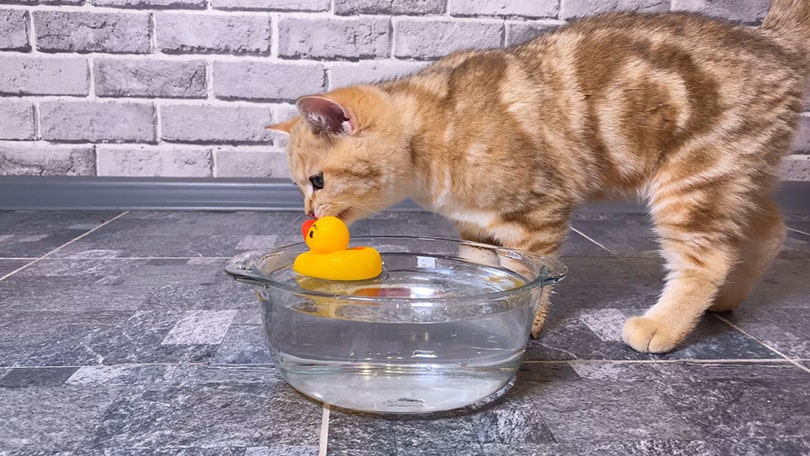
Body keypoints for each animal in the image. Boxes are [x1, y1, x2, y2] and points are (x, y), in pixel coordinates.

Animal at [266, 0, 808, 352]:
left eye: (317, 182)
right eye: (300, 187)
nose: (308, 218)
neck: (435, 130)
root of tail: (771, 41)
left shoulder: (538, 214)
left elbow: (532, 278)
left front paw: (527, 324)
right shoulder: (475, 227)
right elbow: (482, 272)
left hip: (692, 184)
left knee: (708, 260)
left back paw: (663, 326)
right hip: (735, 181)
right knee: (767, 234)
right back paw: (726, 301)